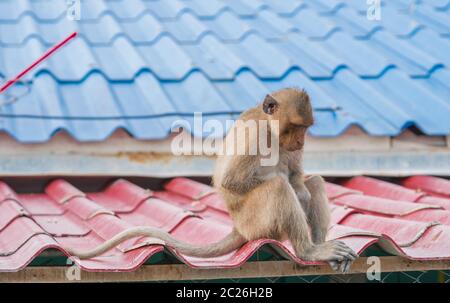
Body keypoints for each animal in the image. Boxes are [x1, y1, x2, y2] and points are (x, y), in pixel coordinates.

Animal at [64, 87, 358, 274]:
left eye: (305, 129)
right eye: (296, 127)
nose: (300, 142)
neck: (270, 127)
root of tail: (239, 228)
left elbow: (297, 174)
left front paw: (300, 186)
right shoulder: (255, 133)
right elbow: (231, 181)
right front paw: (295, 189)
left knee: (314, 181)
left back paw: (318, 243)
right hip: (257, 223)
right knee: (277, 186)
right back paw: (309, 250)